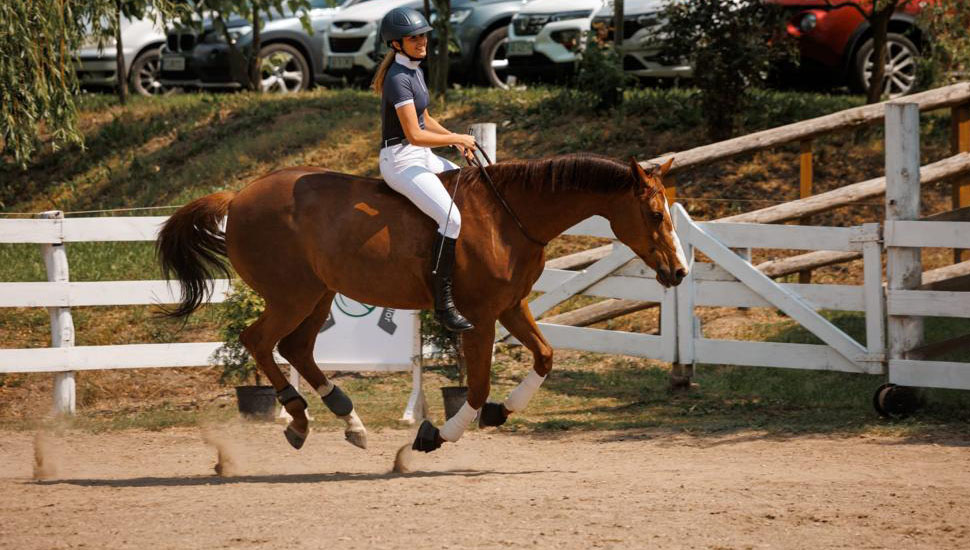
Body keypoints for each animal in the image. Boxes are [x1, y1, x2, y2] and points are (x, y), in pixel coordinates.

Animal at [157, 154, 688, 452]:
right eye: (655, 213)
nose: (680, 272)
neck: (509, 216)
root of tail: (239, 195)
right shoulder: (480, 317)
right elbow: (476, 385)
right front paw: (439, 435)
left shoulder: (511, 306)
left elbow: (545, 357)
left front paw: (501, 412)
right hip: (293, 295)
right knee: (260, 341)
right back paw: (300, 417)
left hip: (318, 294)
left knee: (296, 349)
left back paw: (348, 420)